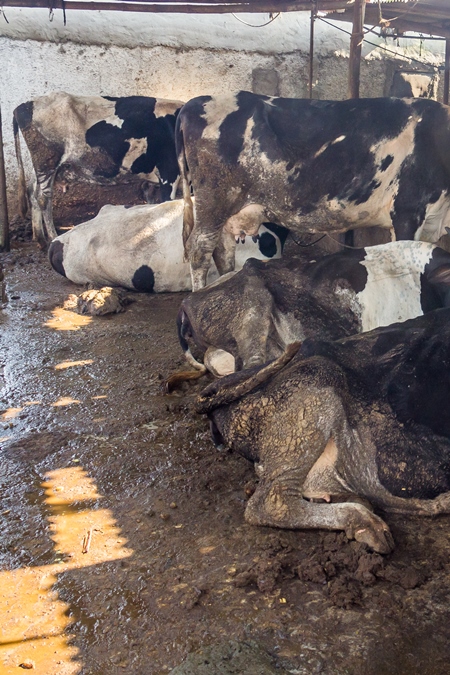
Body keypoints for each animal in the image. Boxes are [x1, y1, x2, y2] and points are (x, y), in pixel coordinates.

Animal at [13, 91, 184, 246]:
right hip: (47, 161)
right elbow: (168, 204)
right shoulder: (169, 172)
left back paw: (40, 239)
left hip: (41, 167)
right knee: (43, 198)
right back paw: (52, 237)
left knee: (32, 191)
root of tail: (25, 104)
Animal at [177, 92, 450, 288]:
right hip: (215, 202)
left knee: (223, 251)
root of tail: (196, 102)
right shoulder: (407, 210)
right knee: (200, 250)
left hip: (227, 210)